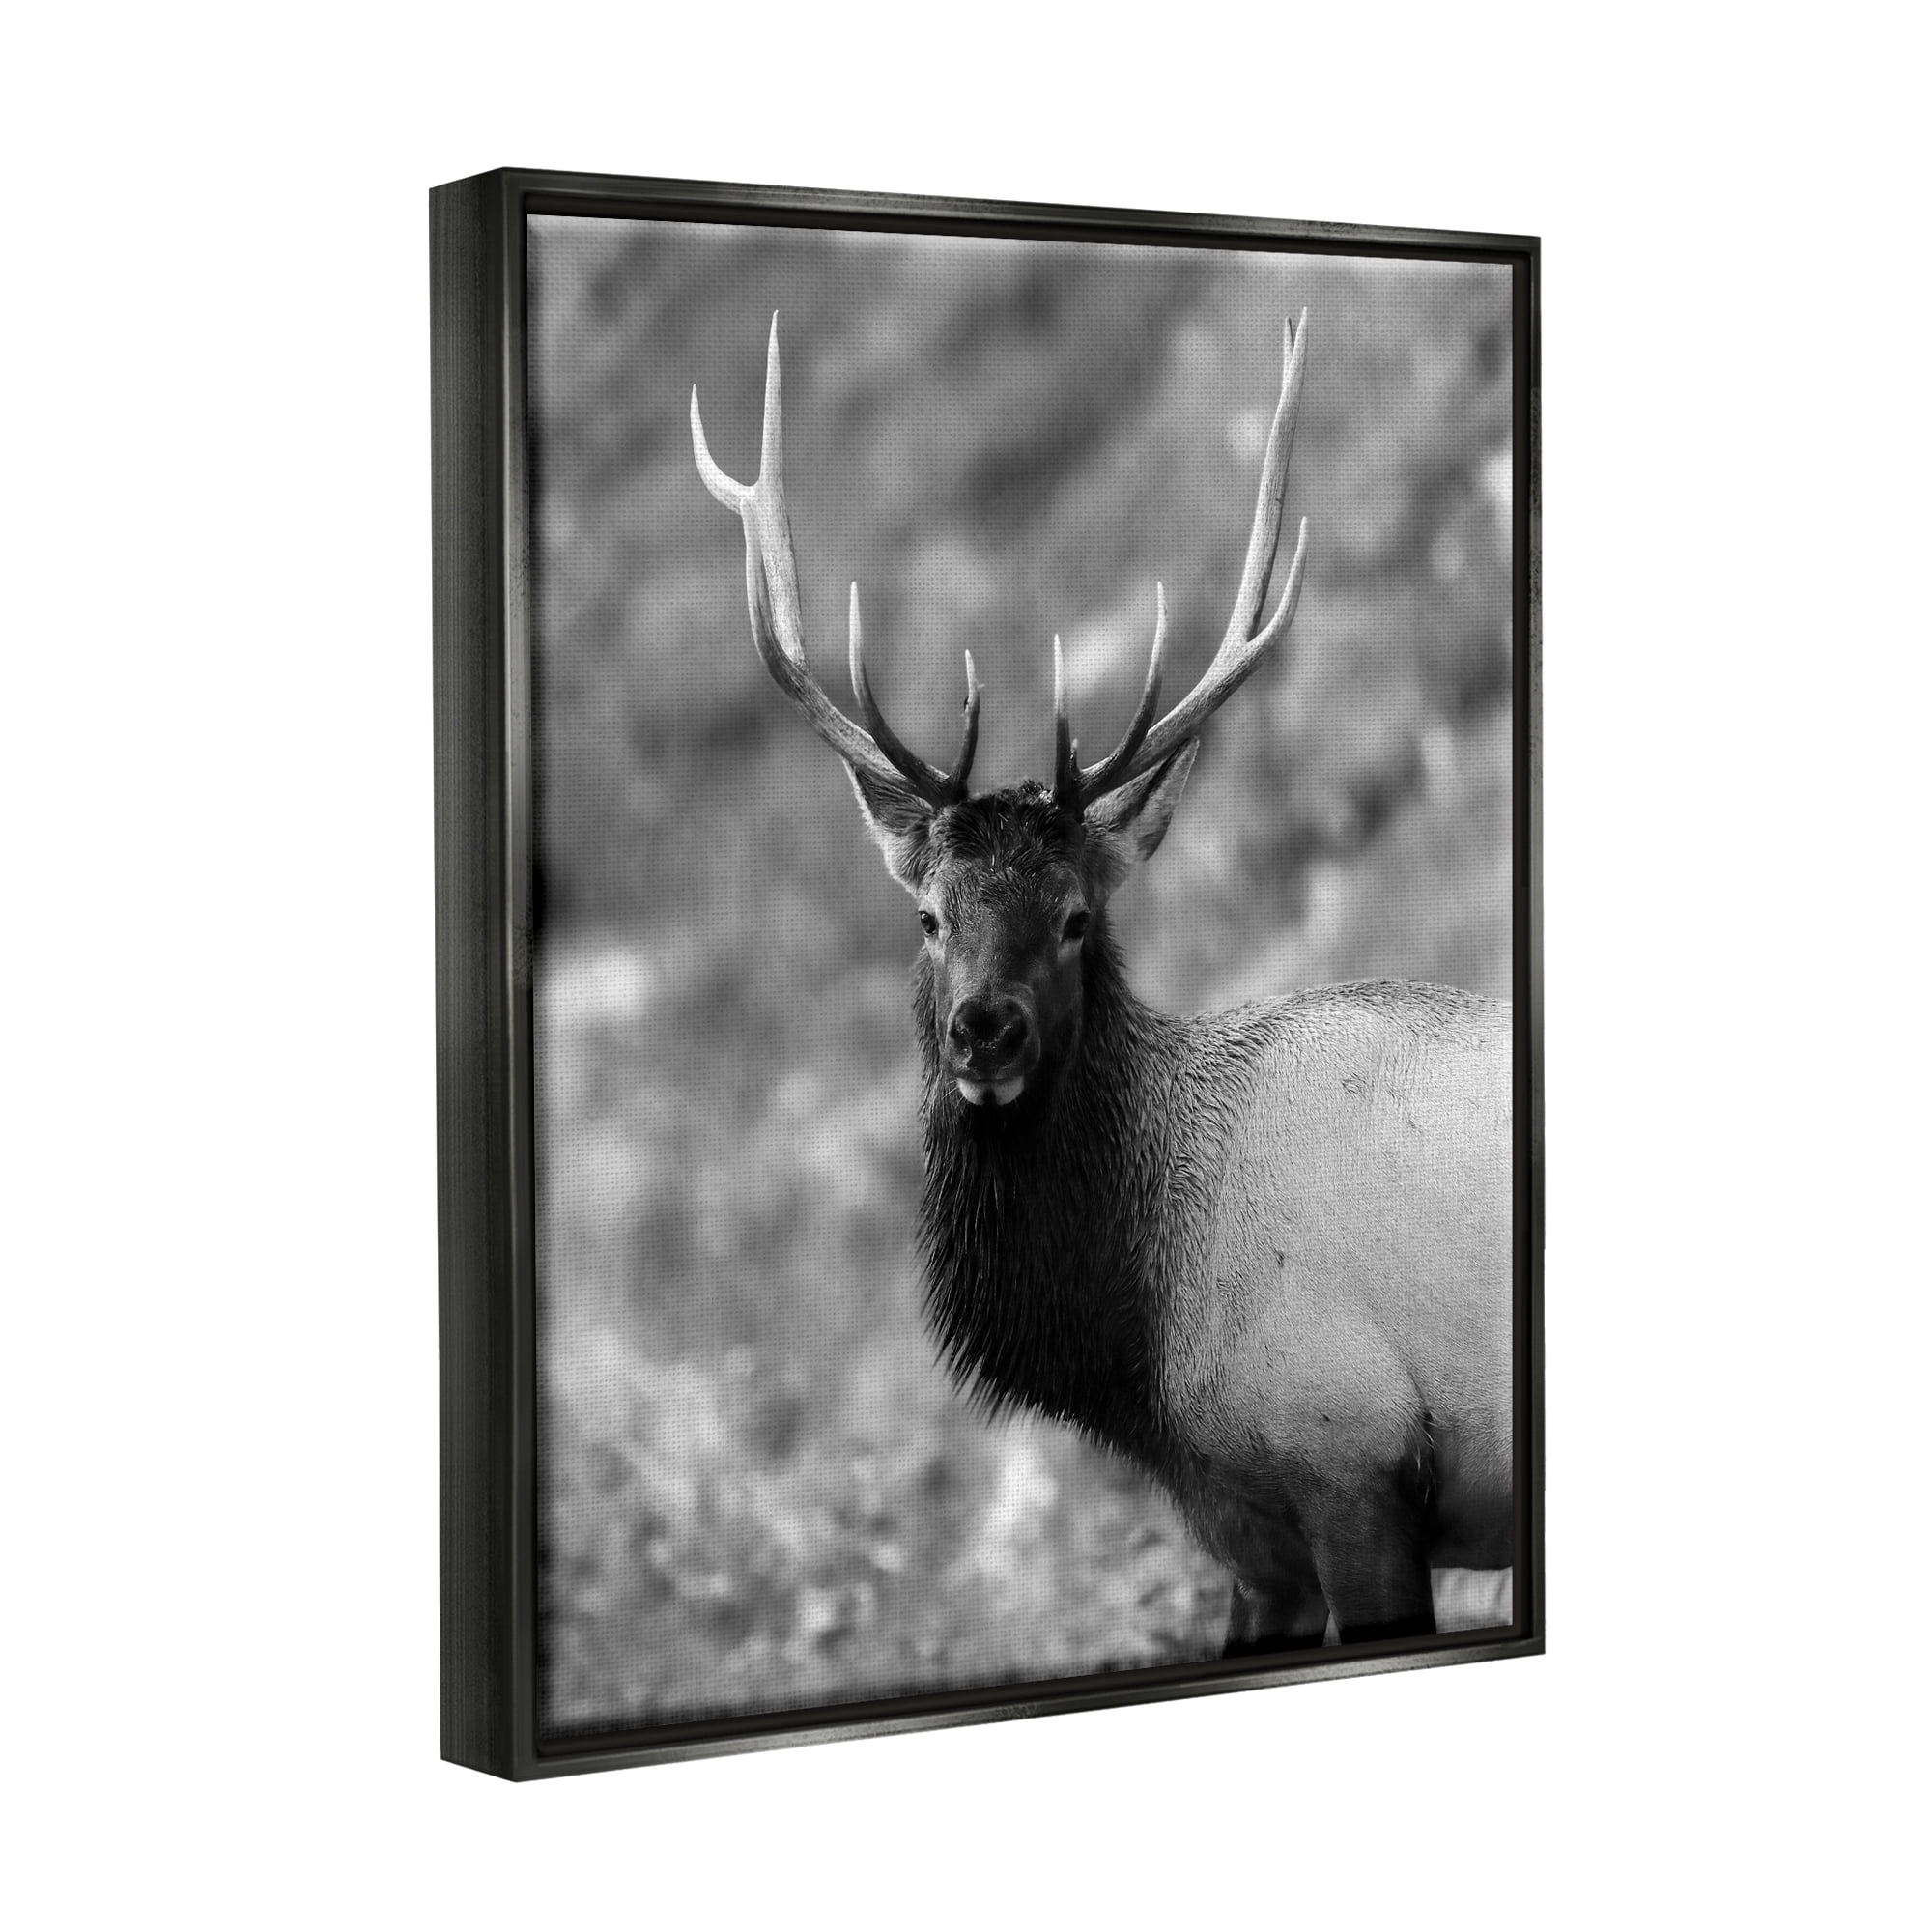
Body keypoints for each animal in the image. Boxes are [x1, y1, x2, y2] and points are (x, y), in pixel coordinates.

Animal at [690, 313, 1513, 1654]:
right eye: (929, 914)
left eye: (1078, 916)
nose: (984, 1032)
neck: (1139, 1343)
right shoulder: (1246, 1530)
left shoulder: (1353, 1465)